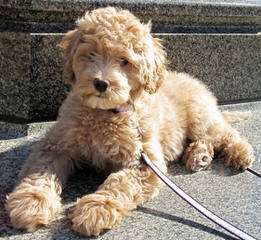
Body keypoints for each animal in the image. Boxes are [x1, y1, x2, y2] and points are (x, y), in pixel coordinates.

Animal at [6, 7, 254, 236]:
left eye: (124, 61)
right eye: (91, 54)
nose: (101, 83)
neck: (105, 113)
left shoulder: (144, 161)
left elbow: (120, 183)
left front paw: (97, 209)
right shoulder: (55, 146)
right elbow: (39, 173)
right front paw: (31, 203)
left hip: (200, 117)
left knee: (224, 134)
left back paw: (240, 154)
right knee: (208, 140)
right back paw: (198, 156)